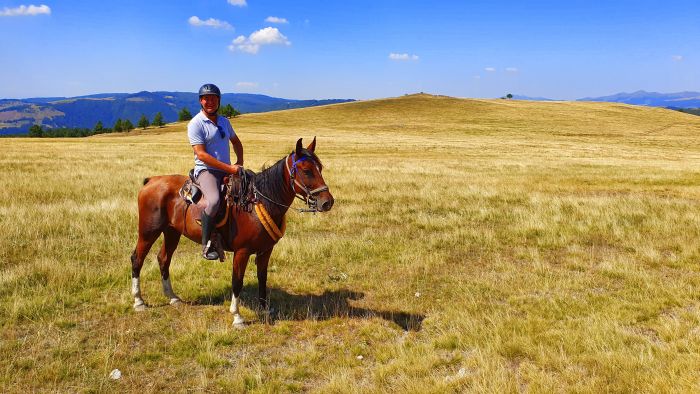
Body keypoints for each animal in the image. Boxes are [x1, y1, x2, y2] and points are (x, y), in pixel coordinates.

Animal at [131, 139, 334, 326]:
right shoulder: (241, 252)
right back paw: (139, 301)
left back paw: (173, 298)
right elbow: (237, 281)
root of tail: (152, 180)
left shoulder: (266, 250)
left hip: (172, 232)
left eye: (320, 168)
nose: (327, 202)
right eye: (306, 171)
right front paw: (237, 317)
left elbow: (262, 278)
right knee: (137, 258)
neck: (257, 203)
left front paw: (265, 309)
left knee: (163, 258)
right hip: (149, 232)